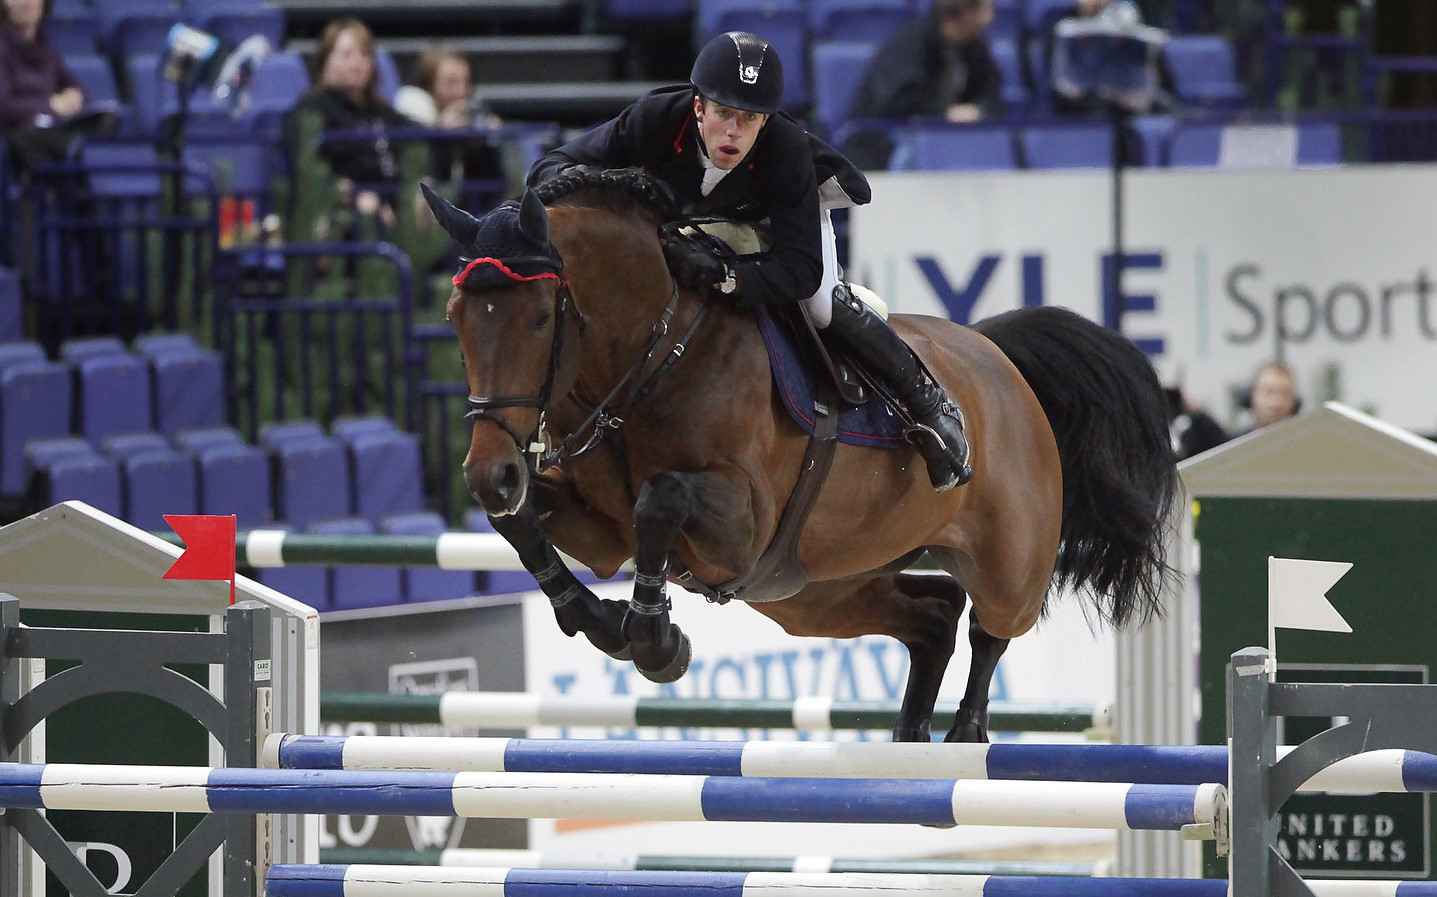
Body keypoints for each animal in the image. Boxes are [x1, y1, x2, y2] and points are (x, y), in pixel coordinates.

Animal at [422, 169, 1166, 741]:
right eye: (456, 319)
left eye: (540, 318)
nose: (490, 474)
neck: (653, 353)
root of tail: (996, 356)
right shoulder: (601, 532)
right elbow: (525, 525)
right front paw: (600, 620)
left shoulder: (740, 527)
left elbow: (659, 497)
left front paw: (655, 642)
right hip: (814, 593)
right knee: (934, 615)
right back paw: (909, 737)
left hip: (1008, 558)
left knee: (992, 621)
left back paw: (966, 730)